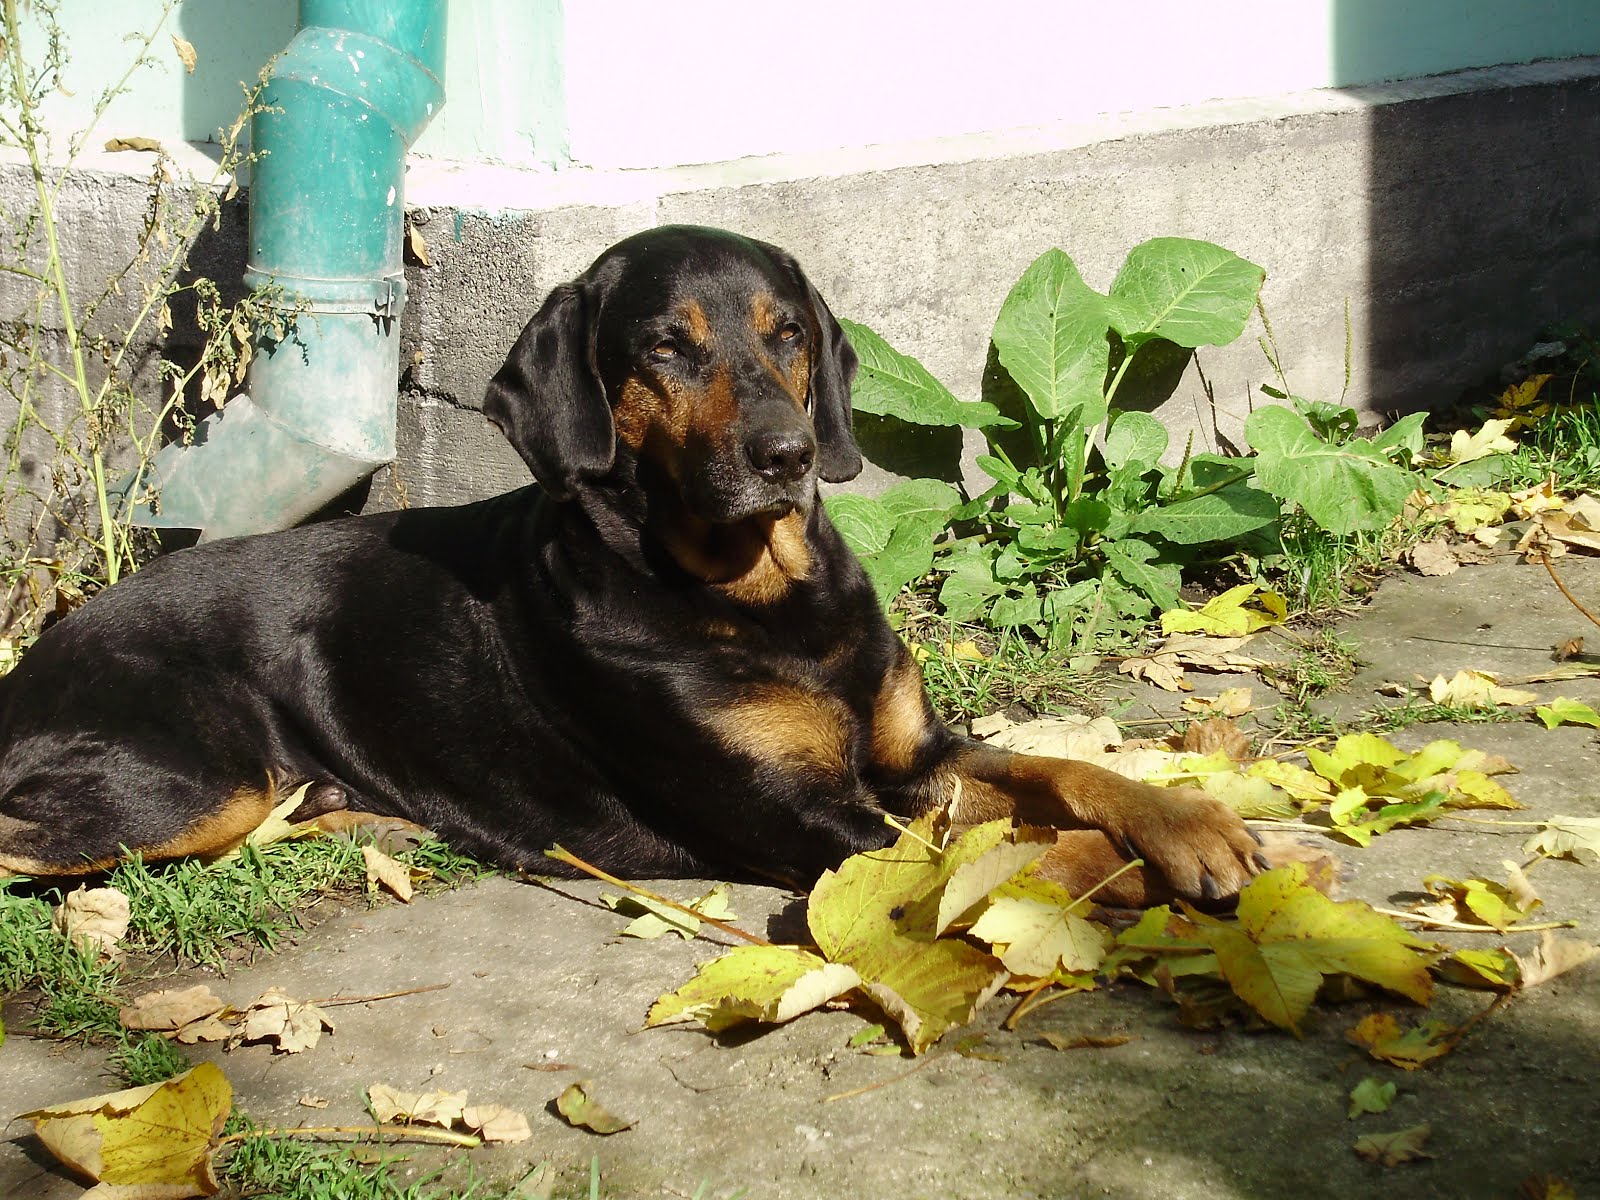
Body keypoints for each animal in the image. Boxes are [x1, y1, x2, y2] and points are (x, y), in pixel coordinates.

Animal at [0, 224, 1260, 902]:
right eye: (663, 346)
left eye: (787, 332)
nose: (788, 455)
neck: (758, 595)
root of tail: (30, 664)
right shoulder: (811, 821)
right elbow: (1012, 859)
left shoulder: (917, 755)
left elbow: (1061, 771)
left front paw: (1189, 827)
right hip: (192, 775)